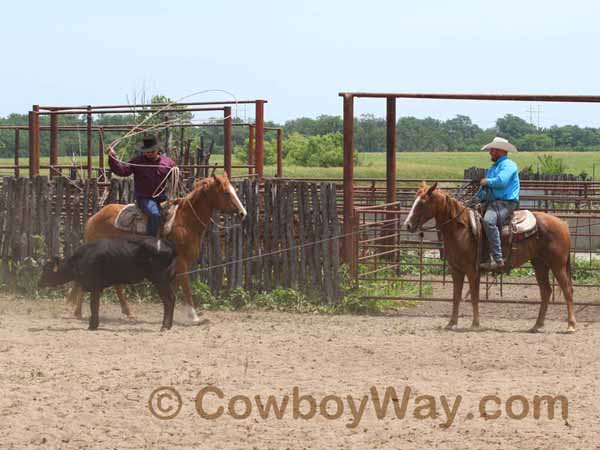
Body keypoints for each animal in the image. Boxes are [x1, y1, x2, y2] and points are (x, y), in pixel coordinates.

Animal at [65, 173, 244, 324]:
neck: (185, 222)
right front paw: (194, 317)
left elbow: (174, 287)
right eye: (226, 193)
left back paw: (121, 312)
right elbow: (186, 287)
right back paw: (80, 312)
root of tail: (93, 218)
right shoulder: (182, 262)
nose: (243, 213)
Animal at [404, 181, 576, 332]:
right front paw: (451, 323)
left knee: (567, 290)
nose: (407, 225)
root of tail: (563, 224)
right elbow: (456, 296)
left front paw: (475, 324)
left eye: (421, 203)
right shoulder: (456, 270)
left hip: (557, 265)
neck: (461, 229)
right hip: (540, 264)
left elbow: (474, 297)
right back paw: (536, 325)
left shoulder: (472, 271)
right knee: (546, 291)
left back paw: (571, 325)